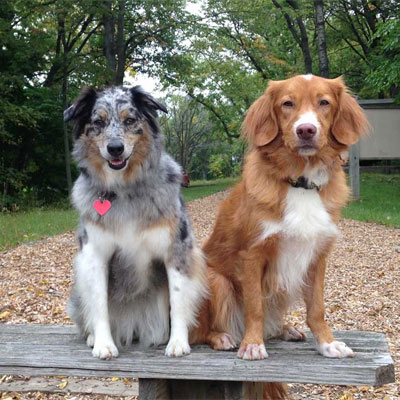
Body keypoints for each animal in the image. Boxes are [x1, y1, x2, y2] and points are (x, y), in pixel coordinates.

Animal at [64, 86, 207, 359]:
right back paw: (92, 337)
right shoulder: (94, 255)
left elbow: (178, 299)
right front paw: (103, 344)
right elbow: (99, 302)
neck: (125, 189)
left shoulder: (176, 249)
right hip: (79, 286)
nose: (115, 148)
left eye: (130, 120)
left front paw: (178, 342)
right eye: (98, 122)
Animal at [192, 74, 367, 395]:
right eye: (287, 104)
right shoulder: (252, 254)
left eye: (324, 102)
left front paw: (327, 344)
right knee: (198, 332)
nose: (306, 129)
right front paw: (252, 345)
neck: (300, 181)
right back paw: (222, 336)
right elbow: (254, 308)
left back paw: (285, 330)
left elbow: (317, 309)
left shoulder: (317, 256)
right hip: (216, 280)